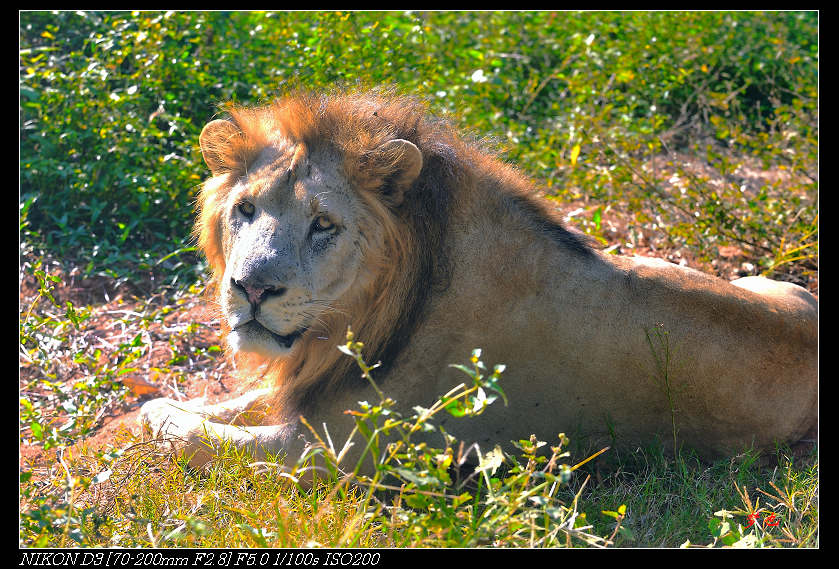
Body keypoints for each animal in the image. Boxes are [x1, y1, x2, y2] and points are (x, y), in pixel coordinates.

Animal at [139, 87, 820, 470]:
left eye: (323, 224)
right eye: (246, 209)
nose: (251, 289)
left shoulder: (333, 453)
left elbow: (196, 432)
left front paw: (147, 416)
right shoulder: (311, 390)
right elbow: (230, 405)